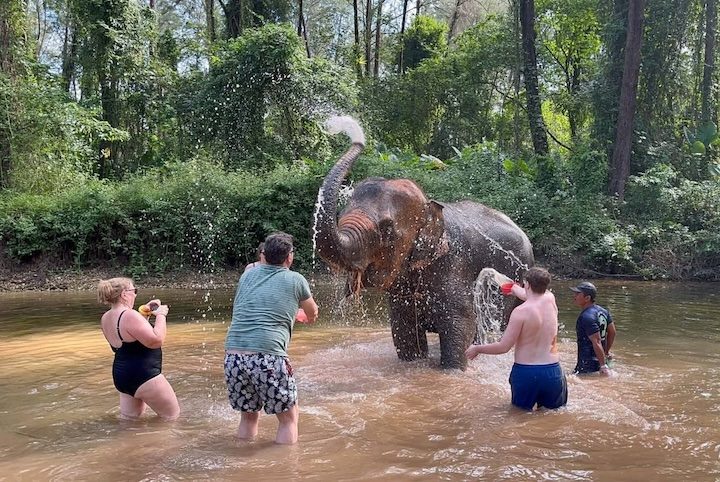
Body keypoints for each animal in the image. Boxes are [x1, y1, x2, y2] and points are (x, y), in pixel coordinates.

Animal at [315, 116, 535, 370]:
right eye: (341, 215)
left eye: (387, 229)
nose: (341, 127)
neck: (430, 205)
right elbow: (405, 334)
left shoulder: (454, 267)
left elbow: (460, 329)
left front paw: (453, 369)